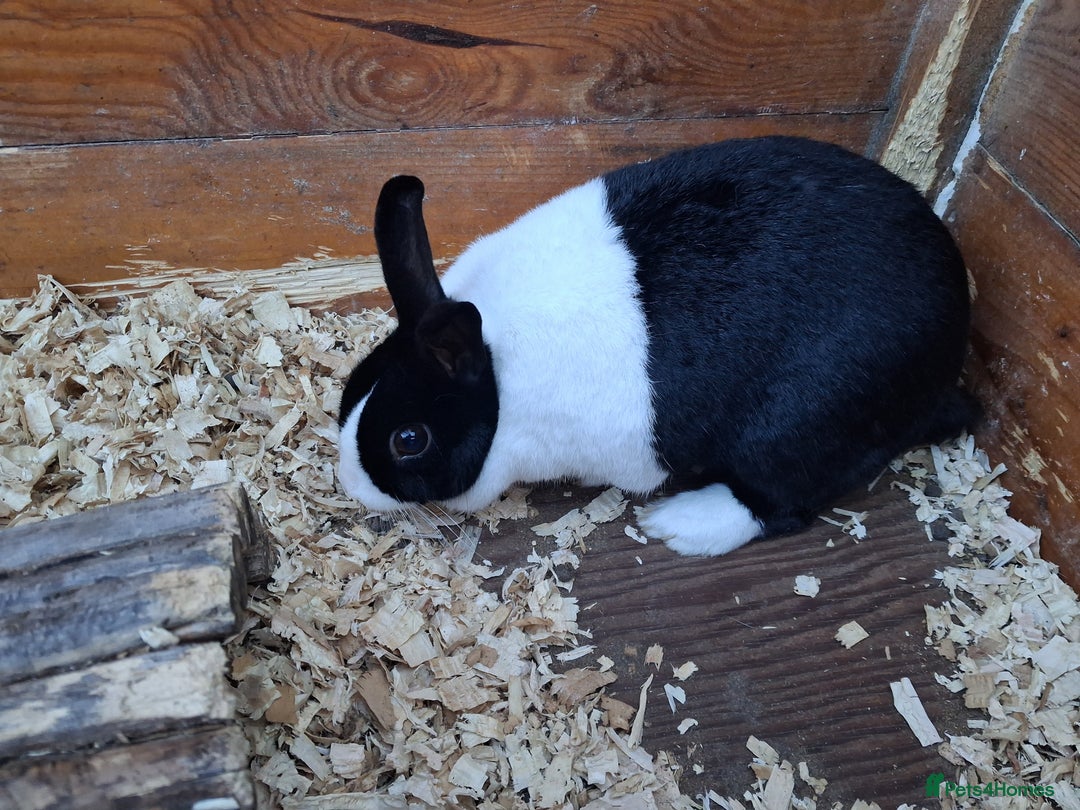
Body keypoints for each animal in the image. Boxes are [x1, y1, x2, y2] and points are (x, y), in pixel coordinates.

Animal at [336, 136, 978, 556]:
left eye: (408, 440)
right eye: (353, 383)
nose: (352, 486)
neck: (497, 373)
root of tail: (951, 355)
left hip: (796, 428)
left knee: (784, 502)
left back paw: (680, 524)